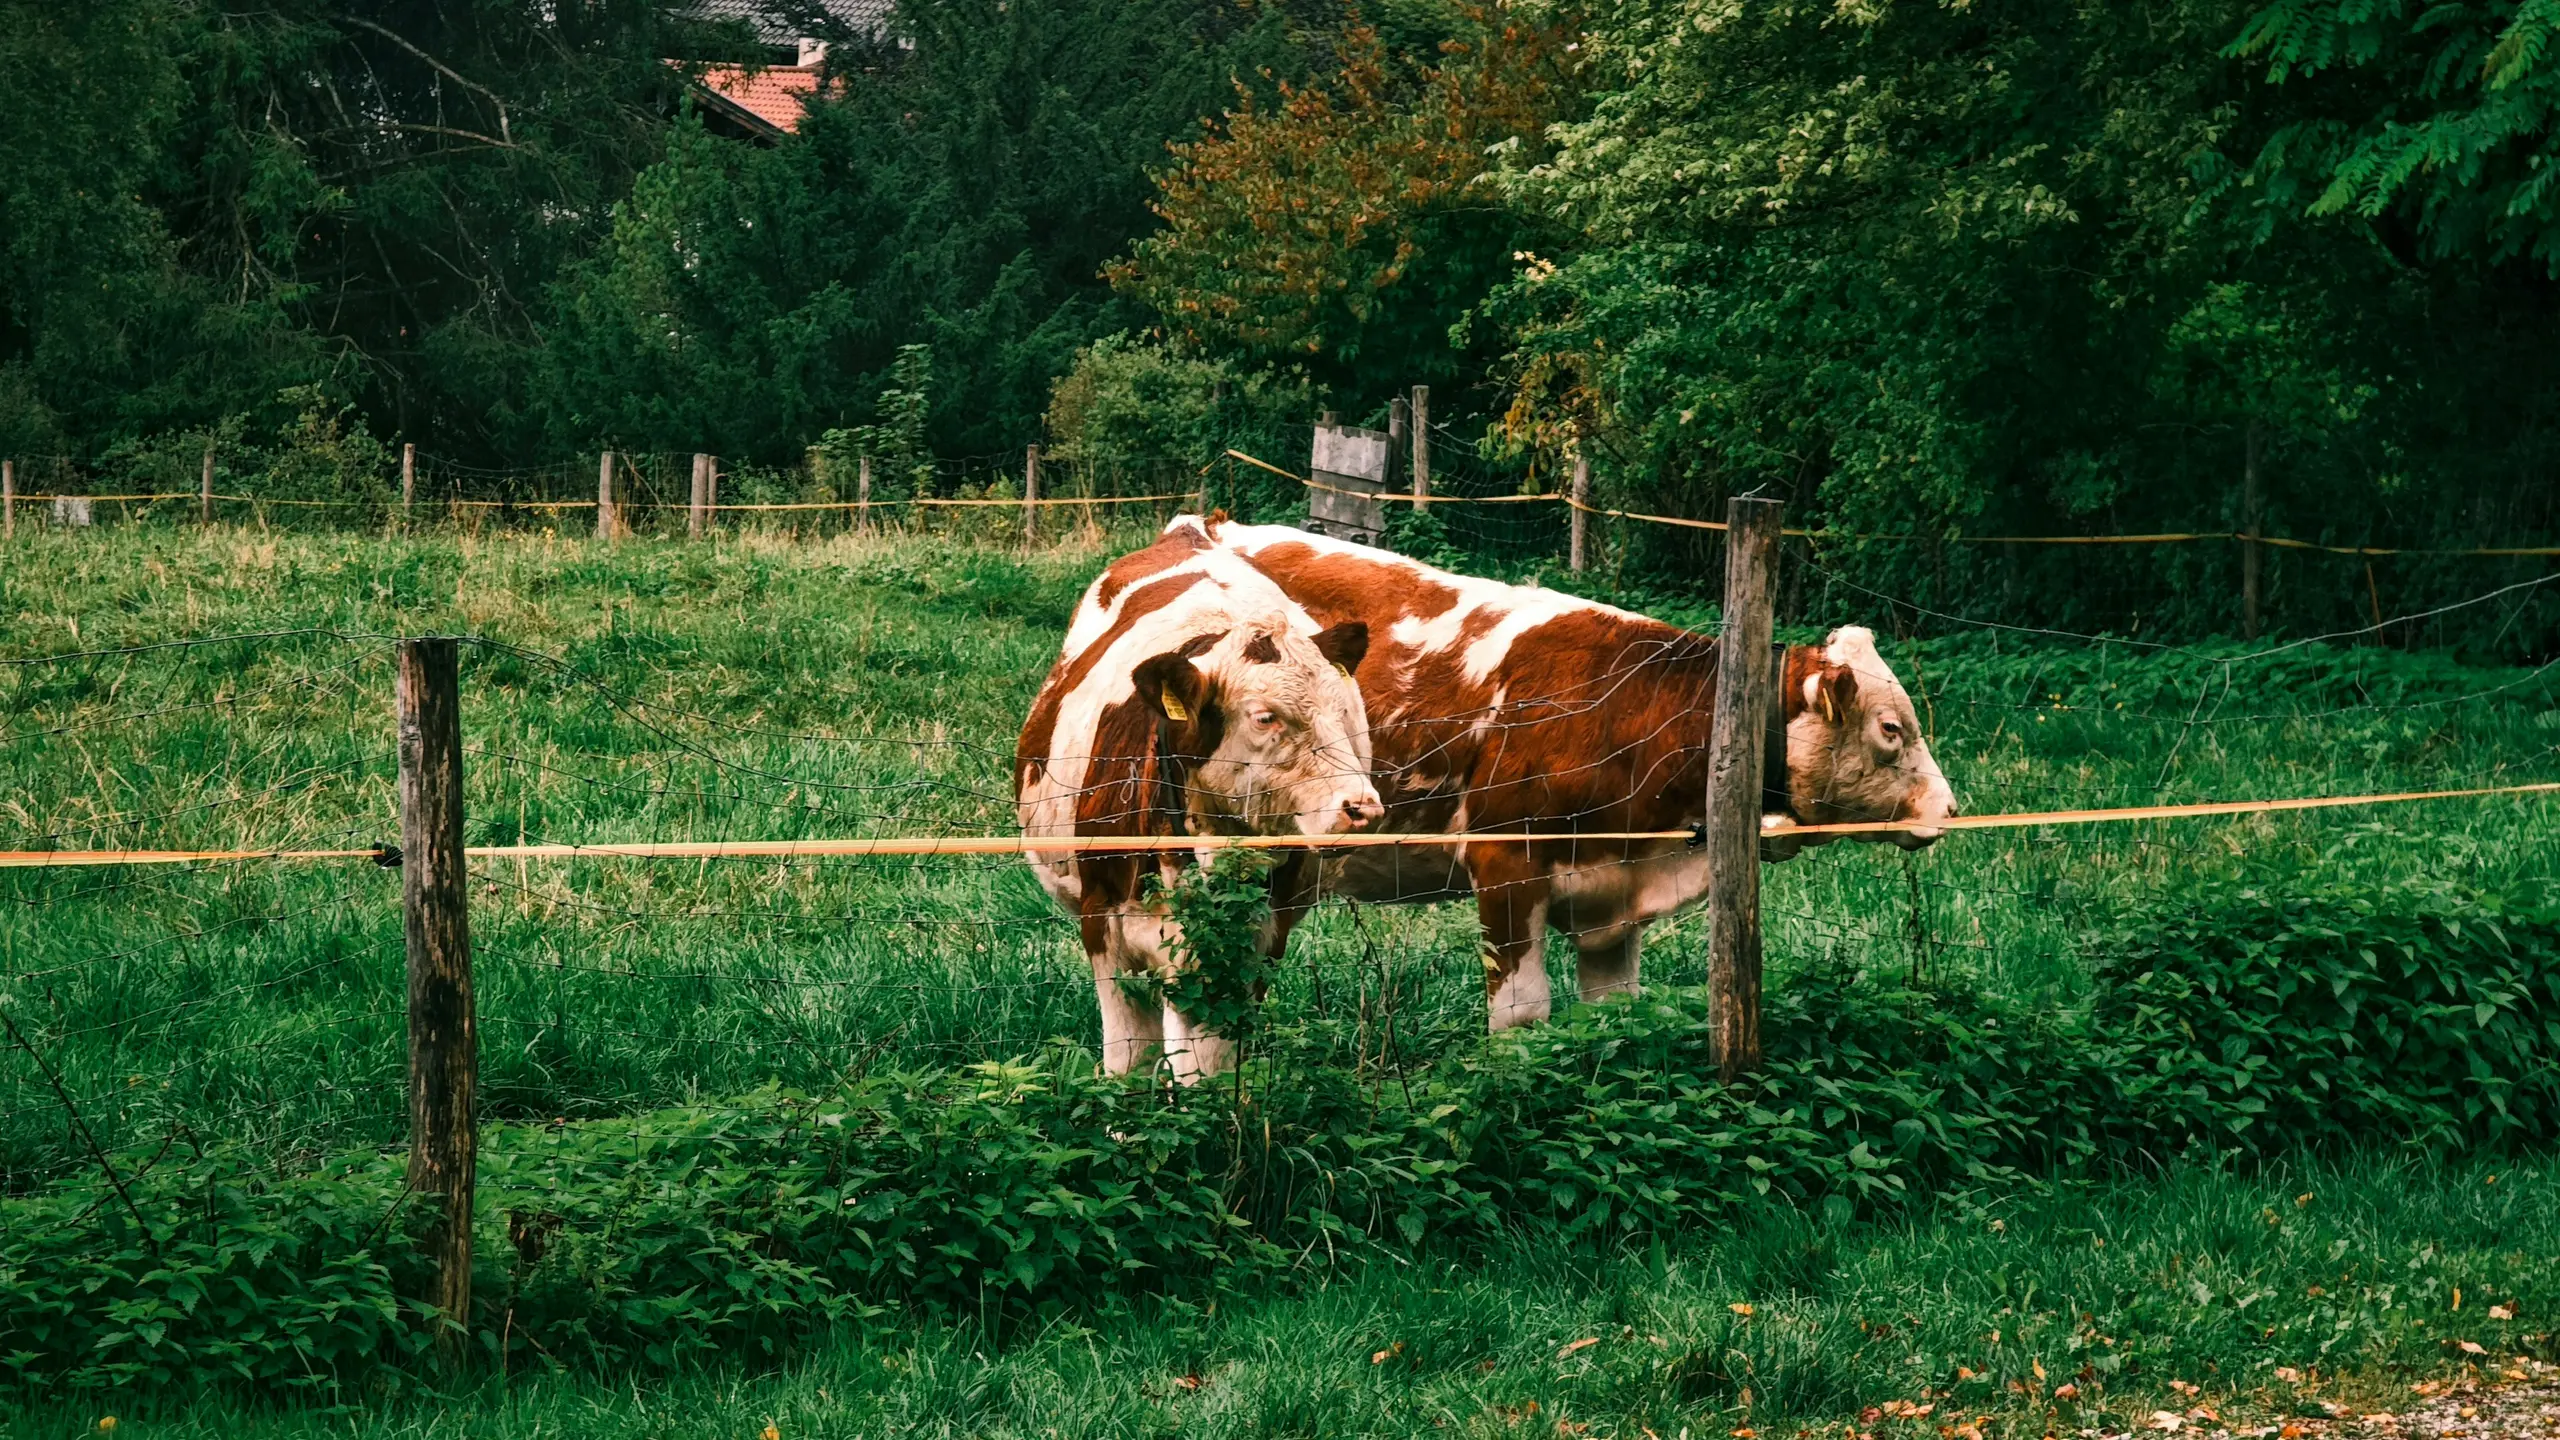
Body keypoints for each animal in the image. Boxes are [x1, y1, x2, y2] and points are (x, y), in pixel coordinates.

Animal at [1016, 516, 1381, 1078]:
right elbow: (1129, 1062)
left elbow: (1206, 1069)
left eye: (1345, 711)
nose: (1362, 808)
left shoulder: (1253, 944)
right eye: (1264, 716)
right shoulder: (1103, 927)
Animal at [1196, 517, 1959, 1029]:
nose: (1947, 808)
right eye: (1891, 729)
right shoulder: (1505, 863)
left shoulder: (1615, 890)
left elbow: (1614, 1012)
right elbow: (1523, 1014)